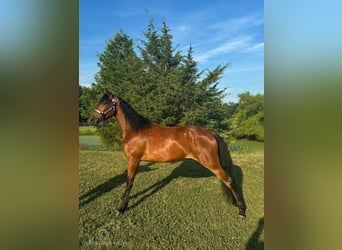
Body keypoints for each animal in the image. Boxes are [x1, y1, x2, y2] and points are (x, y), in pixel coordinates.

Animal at [89, 90, 246, 217]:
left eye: (104, 103)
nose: (91, 120)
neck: (136, 130)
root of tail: (211, 133)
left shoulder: (133, 160)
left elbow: (129, 182)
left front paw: (121, 208)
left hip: (212, 164)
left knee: (229, 180)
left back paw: (241, 211)